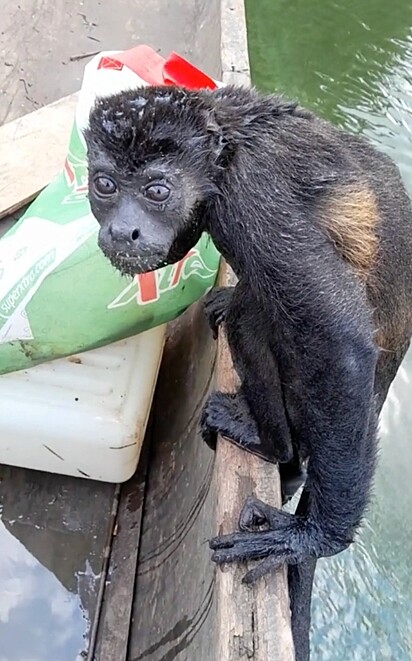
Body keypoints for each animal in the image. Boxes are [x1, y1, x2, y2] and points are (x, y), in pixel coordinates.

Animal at [83, 85, 412, 656]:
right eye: (105, 184)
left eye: (157, 190)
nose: (124, 229)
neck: (222, 146)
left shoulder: (253, 197)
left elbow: (340, 341)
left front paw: (317, 537)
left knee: (261, 320)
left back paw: (270, 443)